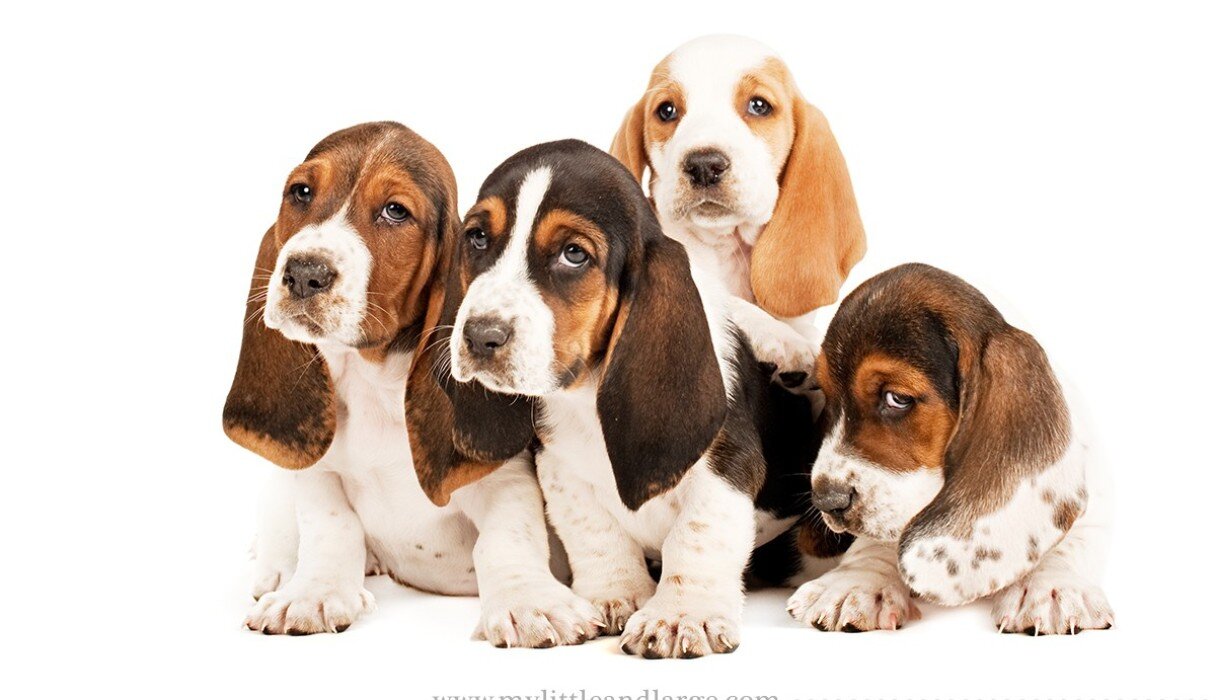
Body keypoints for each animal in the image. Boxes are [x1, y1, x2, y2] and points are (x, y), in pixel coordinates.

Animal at [223, 122, 601, 644]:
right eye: (300, 192)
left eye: (395, 211)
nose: (302, 273)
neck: (372, 382)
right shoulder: (318, 473)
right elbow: (331, 526)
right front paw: (313, 593)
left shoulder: (505, 478)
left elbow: (506, 539)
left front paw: (530, 603)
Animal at [408, 139, 851, 658]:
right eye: (477, 238)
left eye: (574, 254)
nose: (479, 337)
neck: (585, 394)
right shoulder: (561, 471)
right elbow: (597, 536)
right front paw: (615, 596)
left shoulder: (725, 467)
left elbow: (696, 538)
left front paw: (681, 615)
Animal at [785, 263, 1115, 634]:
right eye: (825, 395)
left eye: (897, 398)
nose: (827, 500)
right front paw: (856, 582)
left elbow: (1070, 541)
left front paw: (1050, 588)